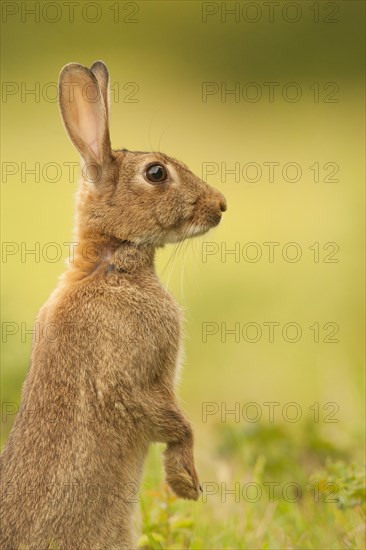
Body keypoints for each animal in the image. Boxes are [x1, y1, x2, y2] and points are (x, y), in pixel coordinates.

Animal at [0, 61, 227, 550]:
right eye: (156, 173)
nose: (221, 204)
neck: (109, 261)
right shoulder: (132, 377)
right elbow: (172, 421)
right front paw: (186, 483)